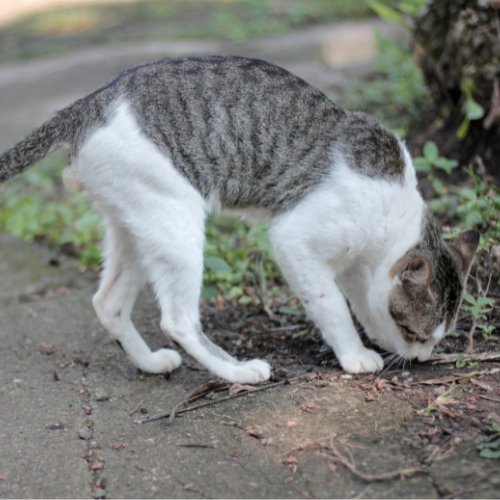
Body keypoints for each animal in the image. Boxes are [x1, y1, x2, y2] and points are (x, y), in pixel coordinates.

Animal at [0, 55, 480, 382]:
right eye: (417, 332)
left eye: (437, 338)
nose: (422, 359)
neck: (393, 217)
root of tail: (88, 104)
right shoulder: (294, 239)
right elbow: (334, 308)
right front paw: (355, 354)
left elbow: (358, 301)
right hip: (176, 220)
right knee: (177, 320)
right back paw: (239, 372)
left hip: (137, 225)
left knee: (109, 301)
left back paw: (152, 363)